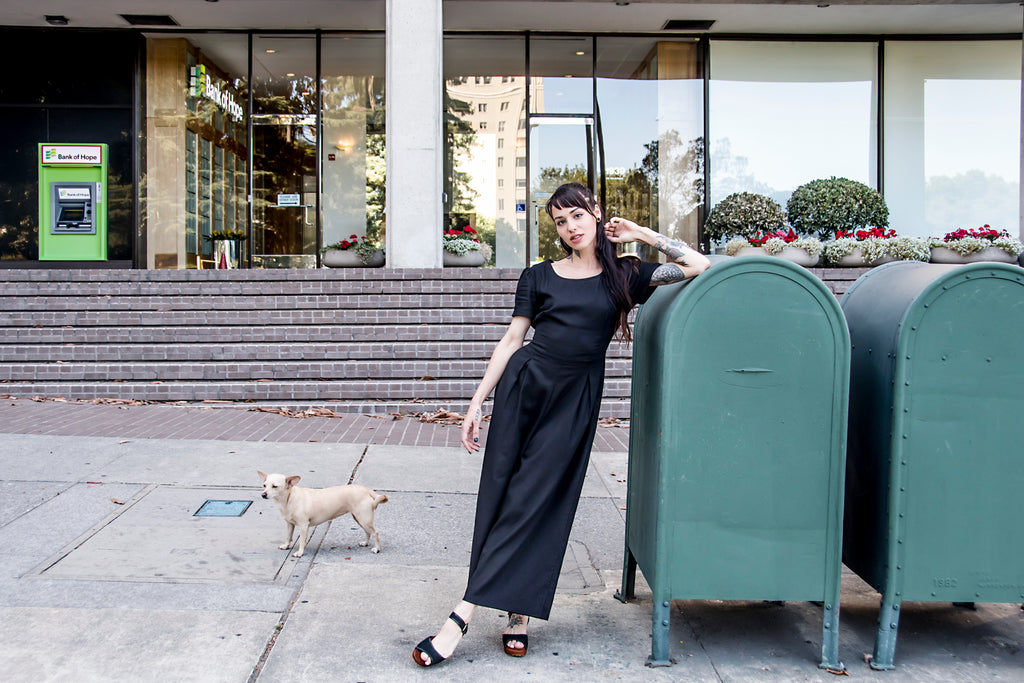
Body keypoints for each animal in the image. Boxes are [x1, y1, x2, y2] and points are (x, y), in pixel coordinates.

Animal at [258, 473, 389, 557]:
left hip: (364, 519)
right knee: (368, 532)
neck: (289, 499)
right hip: (358, 518)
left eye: (275, 486)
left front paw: (300, 553)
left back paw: (377, 549)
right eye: (264, 485)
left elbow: (302, 541)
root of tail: (366, 489)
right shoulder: (290, 524)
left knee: (375, 533)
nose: (263, 495)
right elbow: (288, 536)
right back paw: (365, 543)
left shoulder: (303, 526)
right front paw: (286, 546)